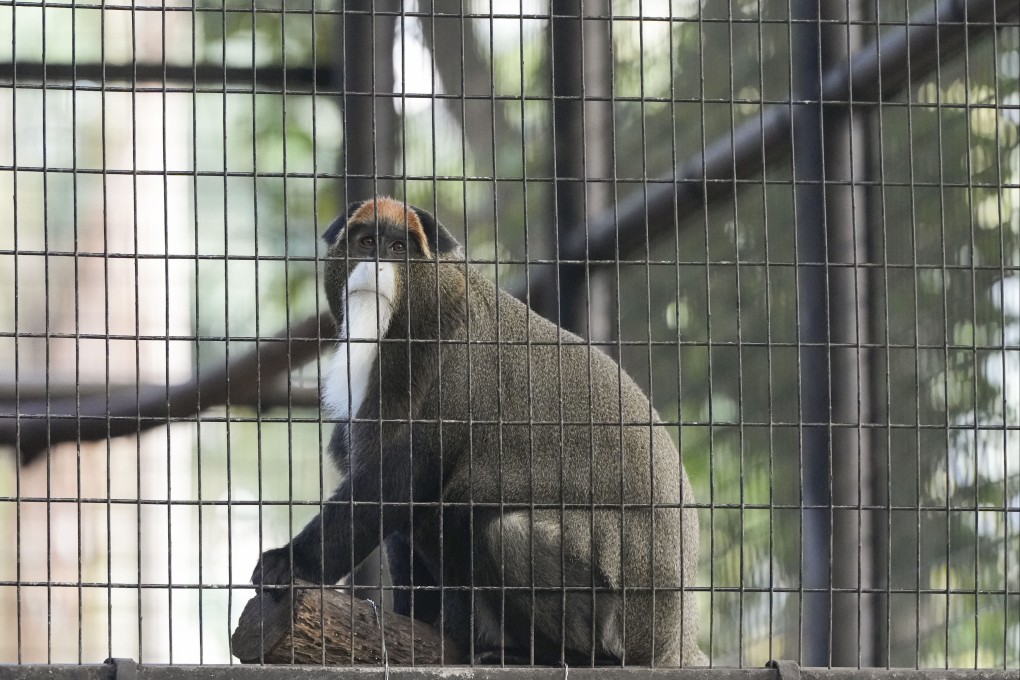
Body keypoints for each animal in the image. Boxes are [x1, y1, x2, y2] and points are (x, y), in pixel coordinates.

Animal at [250, 195, 705, 664]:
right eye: (367, 242)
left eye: (398, 248)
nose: (375, 263)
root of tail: (676, 640)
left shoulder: (445, 364)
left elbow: (395, 481)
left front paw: (289, 562)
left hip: (615, 620)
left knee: (498, 531)